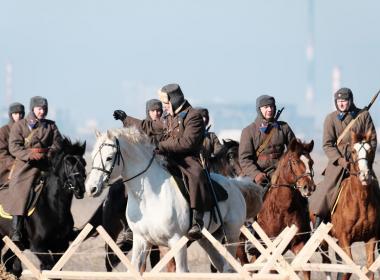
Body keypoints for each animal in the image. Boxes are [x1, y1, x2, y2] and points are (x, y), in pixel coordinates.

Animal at [0, 137, 86, 276]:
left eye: (84, 163)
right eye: (68, 162)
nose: (80, 189)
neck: (54, 208)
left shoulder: (61, 246)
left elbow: (56, 270)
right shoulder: (38, 247)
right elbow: (48, 267)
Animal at [84, 128, 260, 272]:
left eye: (109, 157)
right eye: (93, 157)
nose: (91, 188)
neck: (150, 197)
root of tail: (235, 184)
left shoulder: (176, 242)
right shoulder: (141, 241)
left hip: (232, 235)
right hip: (208, 239)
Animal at [252, 139, 314, 278]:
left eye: (311, 162)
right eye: (295, 162)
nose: (309, 187)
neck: (283, 209)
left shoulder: (299, 244)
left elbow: (305, 268)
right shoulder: (272, 252)